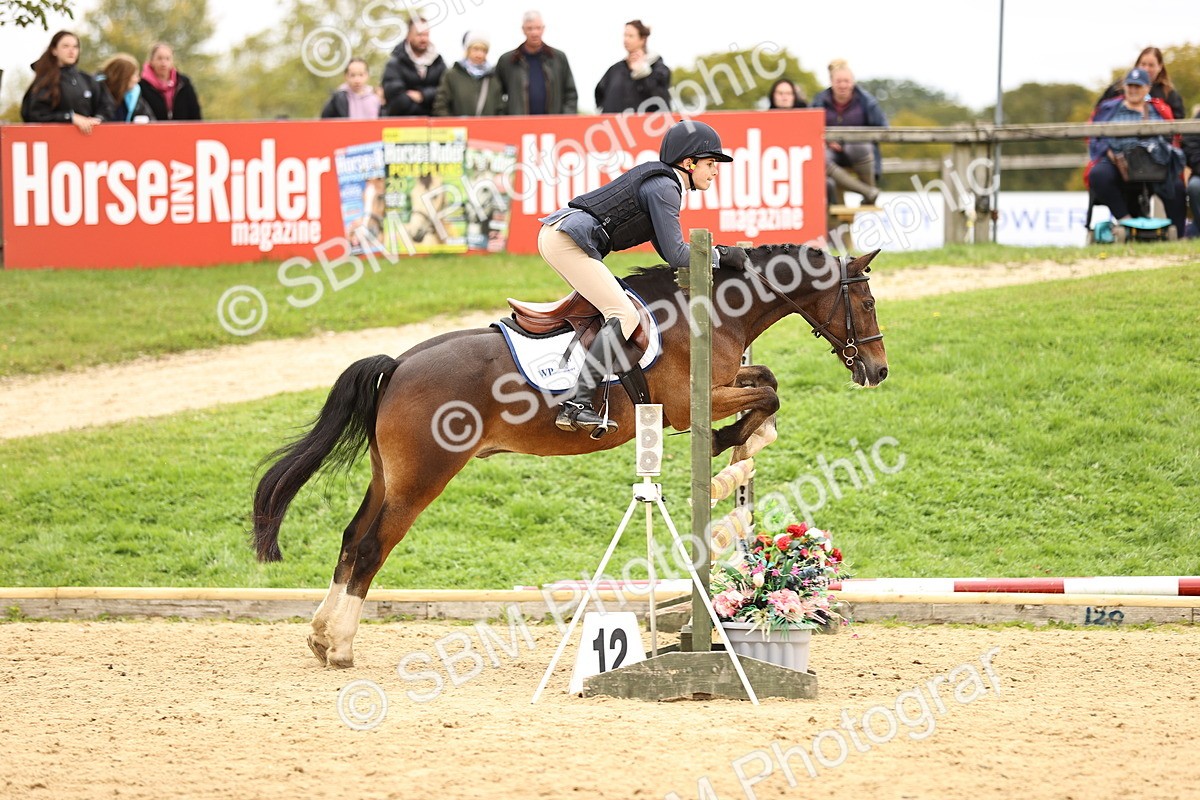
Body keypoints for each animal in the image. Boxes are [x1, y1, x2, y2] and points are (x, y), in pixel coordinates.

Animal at [252, 244, 888, 667]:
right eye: (865, 299)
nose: (878, 371)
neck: (711, 311)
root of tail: (399, 364)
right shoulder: (689, 404)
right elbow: (764, 395)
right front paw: (736, 440)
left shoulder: (724, 383)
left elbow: (767, 382)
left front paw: (750, 436)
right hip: (421, 479)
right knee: (370, 548)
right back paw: (340, 647)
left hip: (390, 476)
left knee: (350, 539)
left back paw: (320, 637)